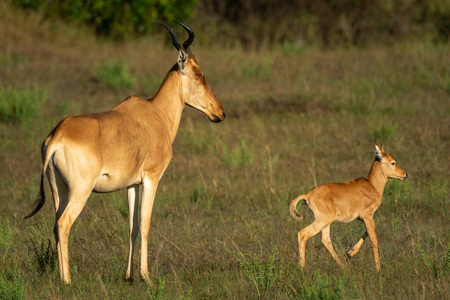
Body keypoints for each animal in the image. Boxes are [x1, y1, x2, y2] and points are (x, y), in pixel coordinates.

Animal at [24, 21, 225, 284]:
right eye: (199, 73)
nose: (220, 112)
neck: (155, 113)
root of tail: (57, 134)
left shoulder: (132, 184)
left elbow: (132, 226)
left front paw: (129, 276)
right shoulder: (151, 178)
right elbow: (146, 223)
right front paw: (146, 277)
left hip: (59, 189)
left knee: (55, 223)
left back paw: (61, 276)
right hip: (80, 191)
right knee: (64, 224)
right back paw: (67, 281)